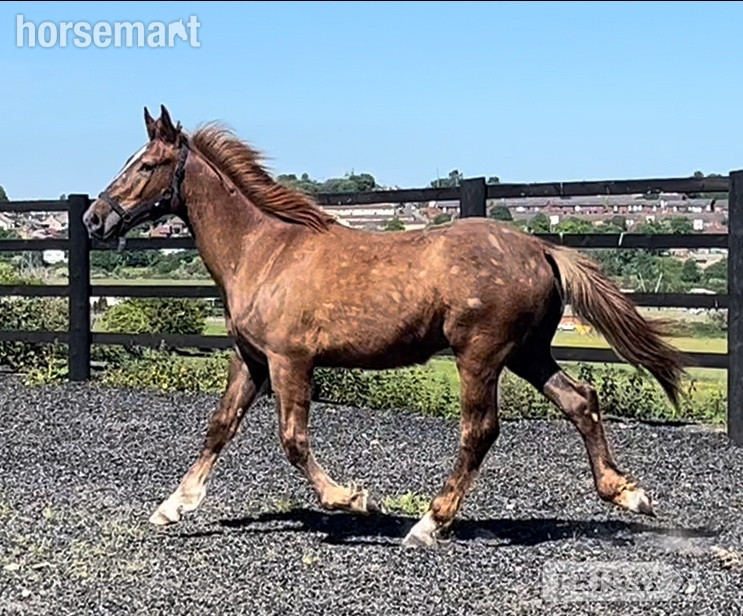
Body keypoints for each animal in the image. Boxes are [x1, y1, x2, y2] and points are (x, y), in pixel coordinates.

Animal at [83, 105, 686, 548]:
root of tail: (541, 247)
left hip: (481, 355)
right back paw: (628, 493)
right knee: (580, 400)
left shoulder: (289, 360)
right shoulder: (250, 359)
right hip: (527, 352)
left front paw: (354, 499)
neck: (263, 251)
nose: (94, 217)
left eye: (145, 165)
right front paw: (172, 506)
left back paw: (428, 524)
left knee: (480, 431)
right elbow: (219, 426)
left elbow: (293, 441)